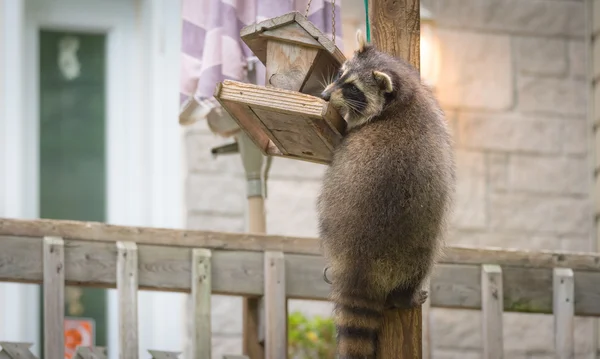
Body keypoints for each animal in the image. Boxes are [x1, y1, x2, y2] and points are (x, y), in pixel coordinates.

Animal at [318, 31, 454, 359]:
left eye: (353, 88)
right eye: (340, 75)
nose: (326, 96)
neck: (403, 99)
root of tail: (360, 263)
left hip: (412, 244)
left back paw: (404, 295)